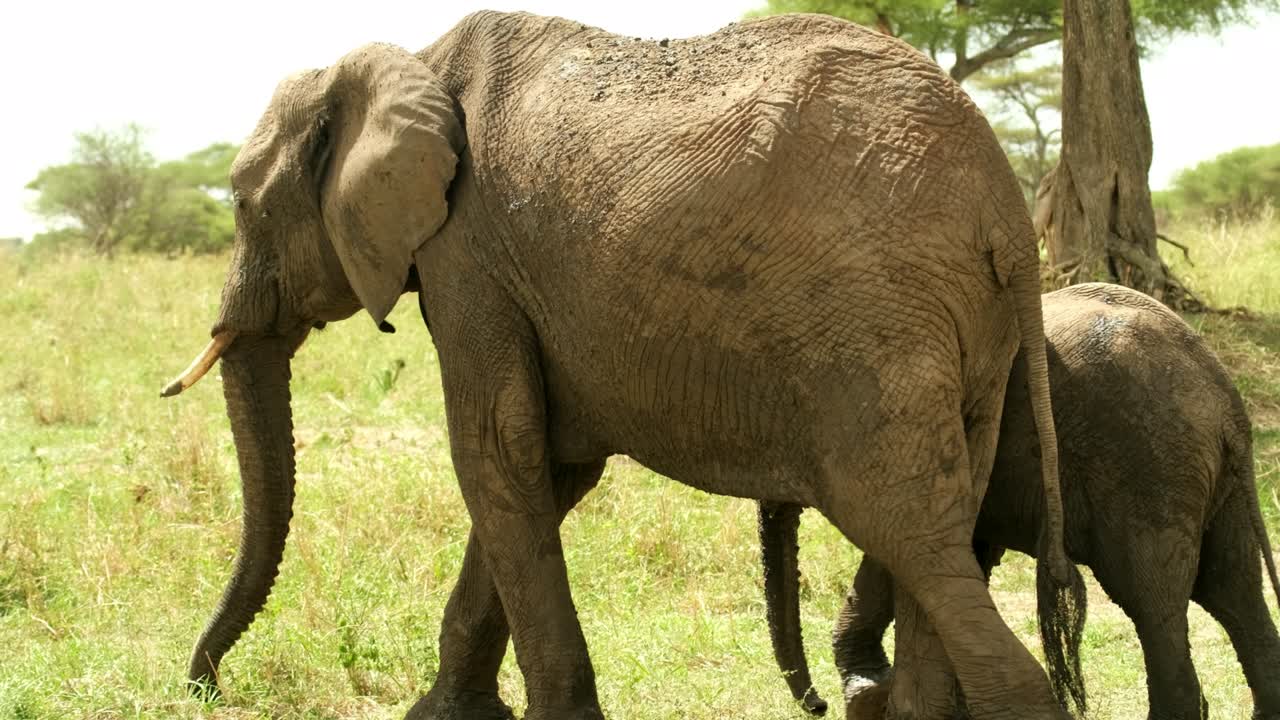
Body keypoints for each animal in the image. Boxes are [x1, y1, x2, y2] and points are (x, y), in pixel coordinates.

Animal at [161, 11, 1074, 719]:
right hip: (968, 338)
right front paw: (446, 712)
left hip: (876, 323)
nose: (205, 686)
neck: (407, 61)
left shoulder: (469, 254)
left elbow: (495, 452)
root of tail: (1004, 207)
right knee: (946, 522)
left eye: (240, 201)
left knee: (907, 525)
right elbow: (550, 467)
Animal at [758, 283, 1280, 719]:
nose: (818, 706)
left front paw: (870, 694)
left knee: (1154, 603)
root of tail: (1227, 403)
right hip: (1211, 483)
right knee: (1232, 590)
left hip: (1148, 466)